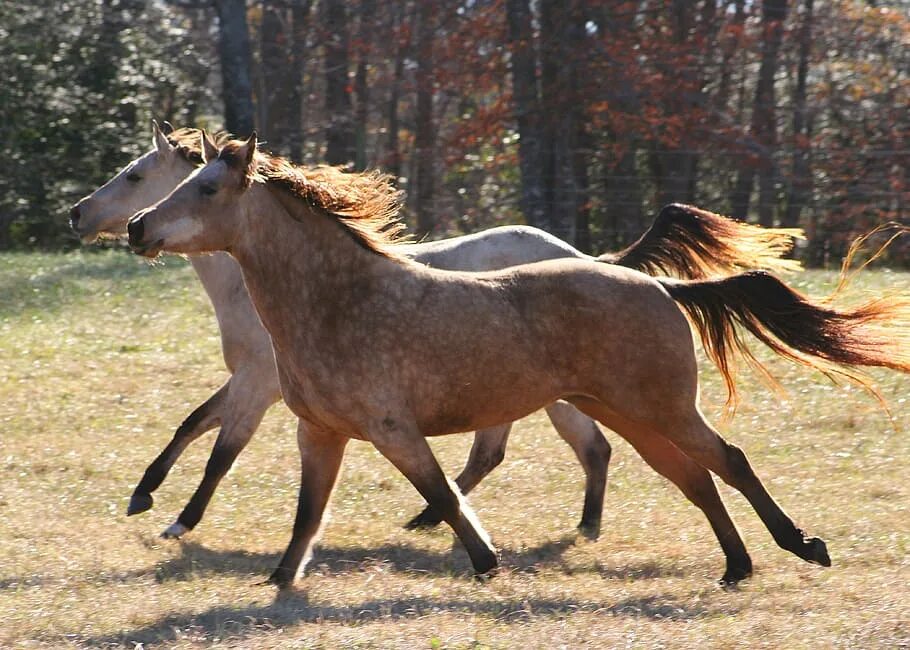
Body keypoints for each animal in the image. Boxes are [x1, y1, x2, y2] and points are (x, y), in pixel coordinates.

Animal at [123, 133, 910, 588]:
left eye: (206, 188)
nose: (135, 228)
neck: (340, 301)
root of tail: (659, 285)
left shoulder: (391, 429)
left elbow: (442, 492)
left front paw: (484, 561)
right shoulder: (319, 431)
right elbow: (305, 515)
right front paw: (278, 582)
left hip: (659, 408)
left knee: (729, 462)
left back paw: (801, 547)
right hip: (625, 413)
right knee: (694, 479)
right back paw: (737, 567)